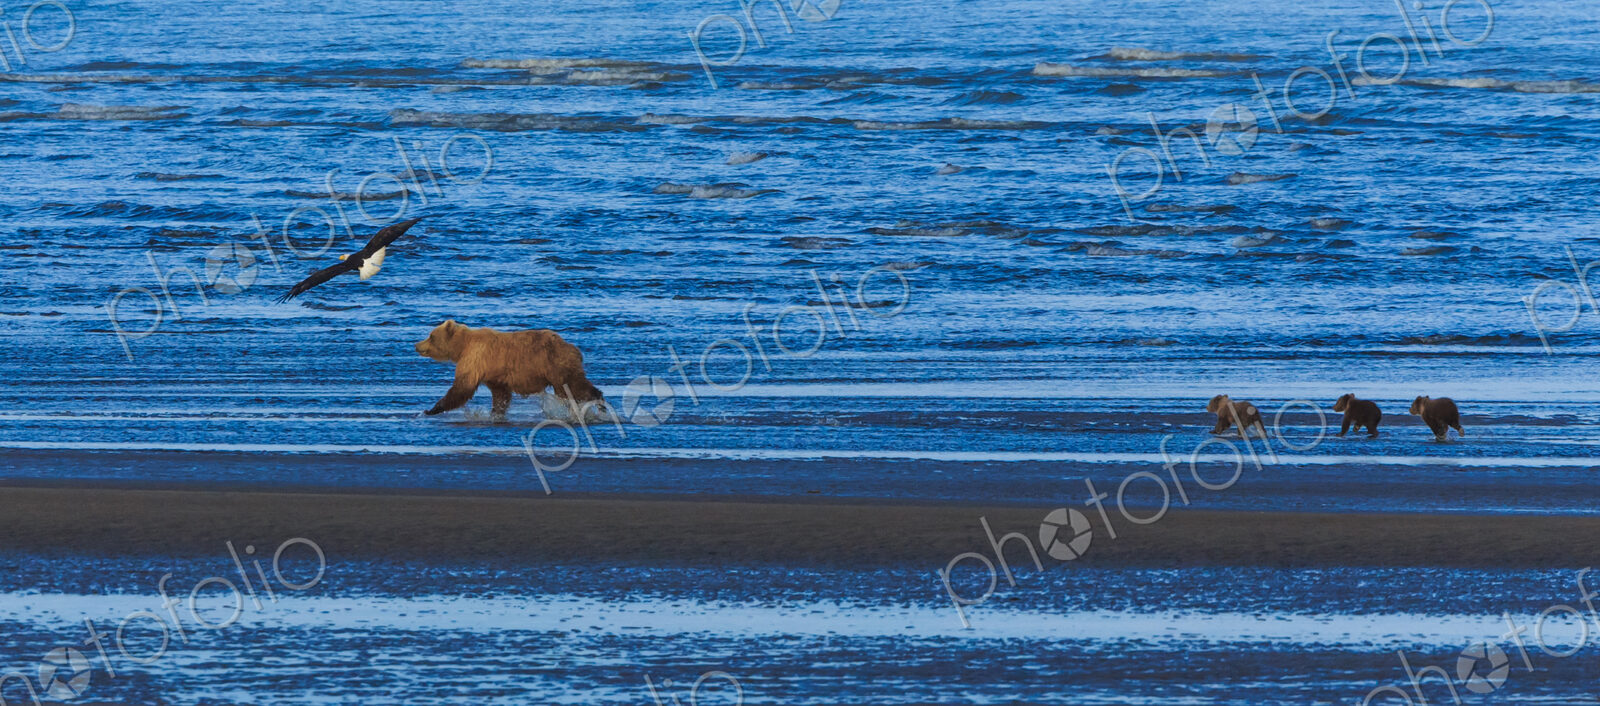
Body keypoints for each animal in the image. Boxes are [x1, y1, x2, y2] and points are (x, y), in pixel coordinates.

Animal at [414, 320, 605, 421]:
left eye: (431, 336)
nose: (416, 345)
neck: (462, 346)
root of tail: (574, 348)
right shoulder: (494, 373)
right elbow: (500, 394)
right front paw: (496, 413)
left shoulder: (475, 359)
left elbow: (462, 388)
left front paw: (431, 409)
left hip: (557, 365)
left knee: (575, 387)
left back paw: (599, 403)